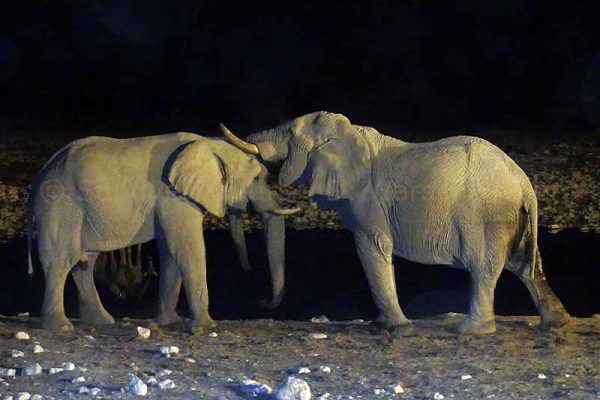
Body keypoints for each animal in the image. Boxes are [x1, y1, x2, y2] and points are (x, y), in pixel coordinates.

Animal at [27, 133, 298, 332]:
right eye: (257, 178)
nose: (262, 299)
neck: (210, 144)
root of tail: (41, 173)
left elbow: (170, 250)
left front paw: (171, 322)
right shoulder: (174, 196)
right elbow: (188, 248)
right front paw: (206, 327)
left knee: (85, 261)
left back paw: (102, 321)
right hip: (59, 203)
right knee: (61, 260)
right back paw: (61, 327)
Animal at [220, 111, 572, 332]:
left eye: (291, 133)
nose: (261, 299)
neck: (351, 132)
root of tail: (524, 184)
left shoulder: (367, 198)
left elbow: (371, 247)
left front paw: (396, 329)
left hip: (484, 216)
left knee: (483, 267)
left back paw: (471, 331)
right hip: (512, 219)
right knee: (525, 265)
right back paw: (557, 323)